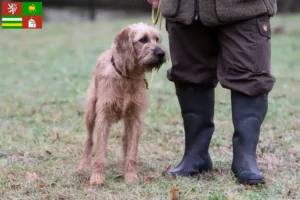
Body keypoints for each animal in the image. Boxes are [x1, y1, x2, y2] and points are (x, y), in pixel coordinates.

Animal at [77, 22, 166, 185]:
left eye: (157, 39)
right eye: (143, 39)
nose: (161, 53)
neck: (127, 77)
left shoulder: (136, 118)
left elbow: (132, 150)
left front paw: (131, 175)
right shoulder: (103, 117)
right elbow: (100, 152)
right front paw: (97, 177)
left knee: (125, 141)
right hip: (91, 113)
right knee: (88, 140)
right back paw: (83, 166)